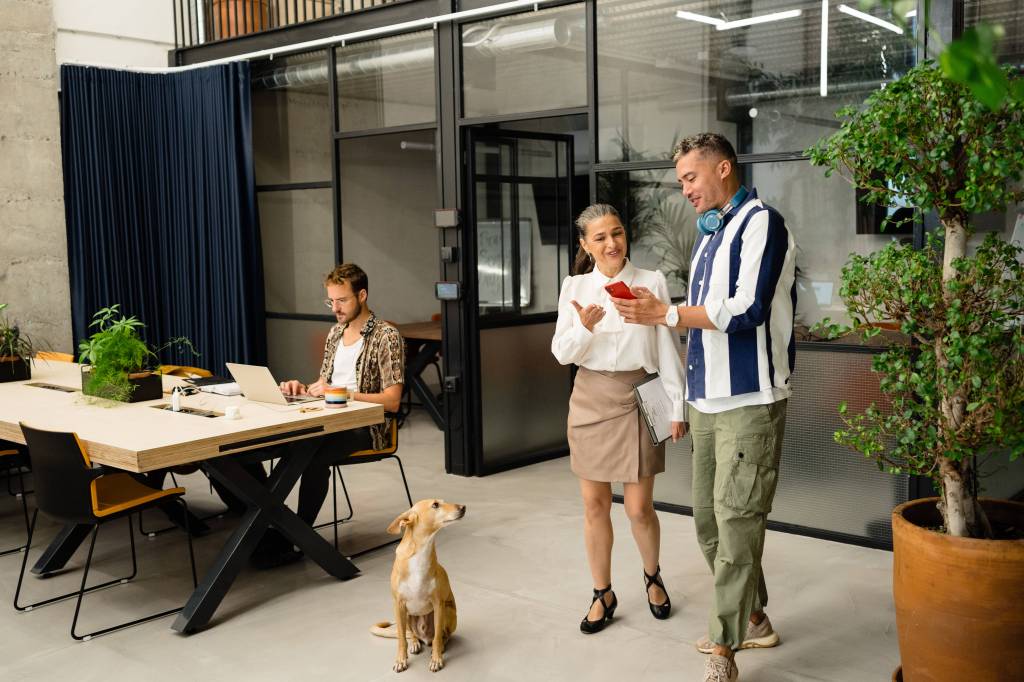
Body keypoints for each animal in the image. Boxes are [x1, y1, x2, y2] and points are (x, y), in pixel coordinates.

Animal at [370, 497, 466, 671]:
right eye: (435, 505)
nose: (463, 507)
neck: (421, 553)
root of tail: (424, 637)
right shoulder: (399, 605)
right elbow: (402, 639)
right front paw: (400, 660)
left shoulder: (438, 605)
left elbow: (437, 638)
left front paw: (436, 659)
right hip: (406, 615)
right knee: (411, 634)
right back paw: (415, 642)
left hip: (448, 612)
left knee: (443, 636)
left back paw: (439, 646)